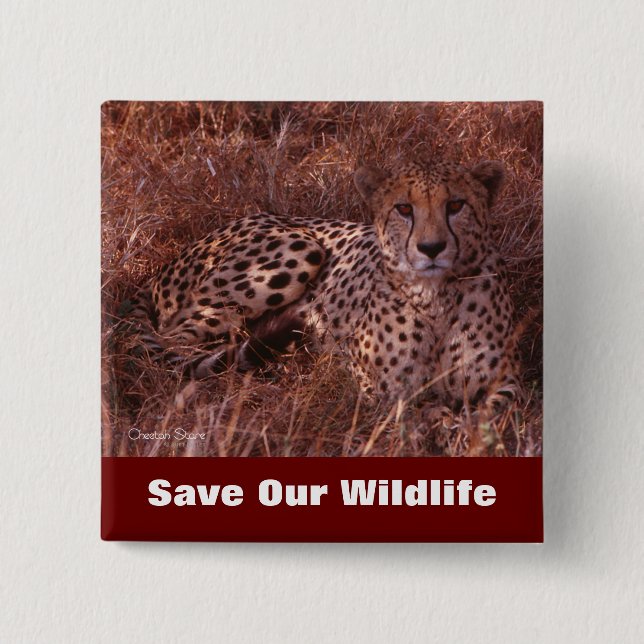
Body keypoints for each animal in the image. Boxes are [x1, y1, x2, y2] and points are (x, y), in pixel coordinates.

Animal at [124, 158, 521, 407]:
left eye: (456, 205)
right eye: (404, 209)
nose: (431, 248)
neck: (435, 297)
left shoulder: (508, 382)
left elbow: (492, 414)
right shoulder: (379, 389)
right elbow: (420, 412)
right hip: (299, 249)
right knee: (173, 343)